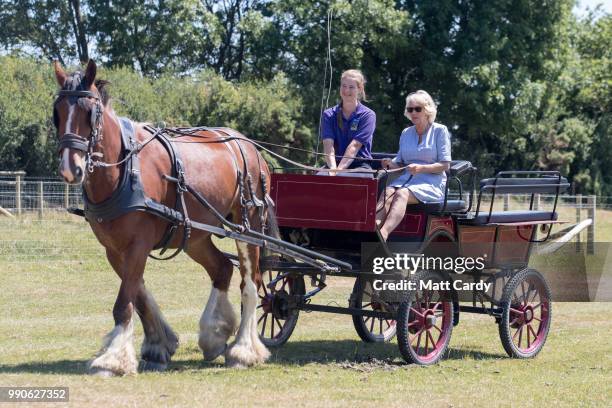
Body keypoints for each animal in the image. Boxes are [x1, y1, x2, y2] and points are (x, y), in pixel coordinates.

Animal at [52, 59, 272, 374]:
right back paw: (214, 335)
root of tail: (250, 147)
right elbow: (138, 295)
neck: (125, 171)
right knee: (221, 269)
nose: (71, 169)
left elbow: (125, 300)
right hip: (195, 235)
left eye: (89, 113)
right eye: (57, 114)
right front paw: (159, 345)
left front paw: (112, 359)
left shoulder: (138, 244)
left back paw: (243, 350)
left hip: (248, 226)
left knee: (250, 283)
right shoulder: (114, 249)